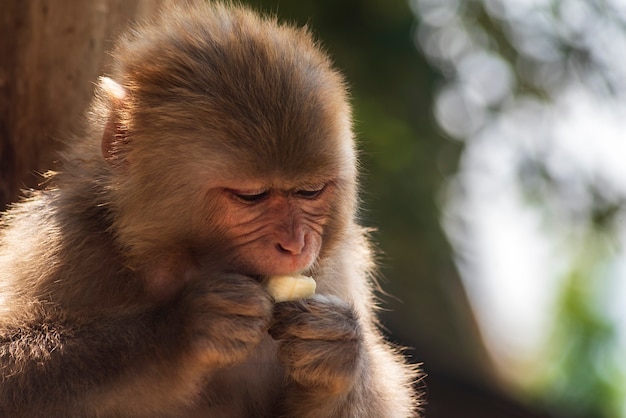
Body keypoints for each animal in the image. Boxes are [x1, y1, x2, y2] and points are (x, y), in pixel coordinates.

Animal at [0, 1, 420, 416]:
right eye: (251, 196)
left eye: (310, 191)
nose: (296, 245)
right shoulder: (64, 242)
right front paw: (180, 332)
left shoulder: (339, 267)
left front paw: (338, 355)